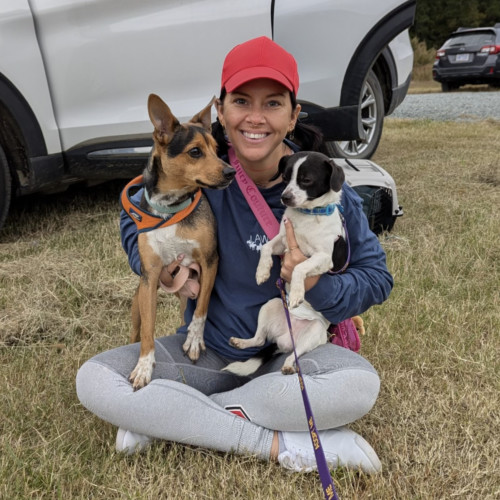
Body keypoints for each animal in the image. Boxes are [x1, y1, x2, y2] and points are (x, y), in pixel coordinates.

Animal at [123, 94, 236, 390]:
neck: (170, 209)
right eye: (195, 152)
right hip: (138, 299)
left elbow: (202, 309)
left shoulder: (209, 263)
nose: (231, 172)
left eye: (216, 149)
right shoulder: (150, 275)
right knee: (136, 331)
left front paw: (195, 340)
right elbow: (149, 331)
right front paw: (144, 365)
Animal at [225, 152, 346, 376]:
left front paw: (297, 292)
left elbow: (299, 267)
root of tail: (286, 339)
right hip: (270, 305)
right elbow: (265, 248)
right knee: (259, 339)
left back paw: (289, 365)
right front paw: (262, 272)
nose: (285, 197)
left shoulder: (324, 257)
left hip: (314, 332)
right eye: (285, 177)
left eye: (306, 180)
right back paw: (241, 342)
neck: (307, 215)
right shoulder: (282, 242)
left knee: (294, 355)